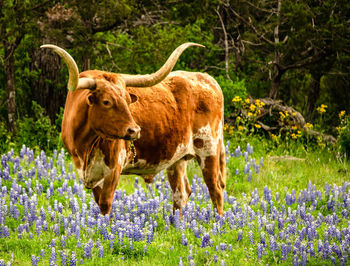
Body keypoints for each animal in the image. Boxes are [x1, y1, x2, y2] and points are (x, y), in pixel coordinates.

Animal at [41, 42, 227, 215]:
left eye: (128, 100)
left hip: (209, 149)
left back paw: (217, 221)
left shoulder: (114, 167)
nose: (135, 131)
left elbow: (105, 204)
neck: (85, 145)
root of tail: (207, 79)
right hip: (178, 158)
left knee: (215, 189)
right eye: (106, 101)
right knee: (180, 194)